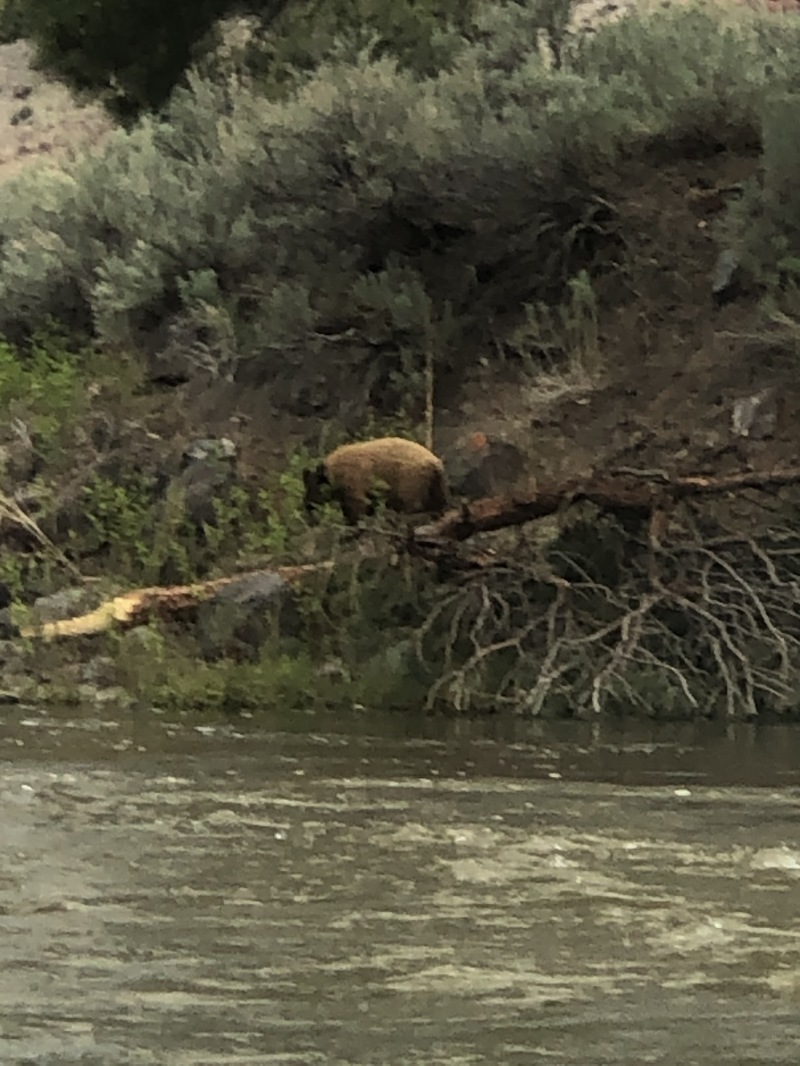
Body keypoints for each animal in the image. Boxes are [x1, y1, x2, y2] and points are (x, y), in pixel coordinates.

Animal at [302, 437, 449, 525]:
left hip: (411, 478)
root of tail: (434, 462)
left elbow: (358, 505)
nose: (307, 505)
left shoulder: (353, 479)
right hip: (434, 484)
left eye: (311, 488)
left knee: (411, 502)